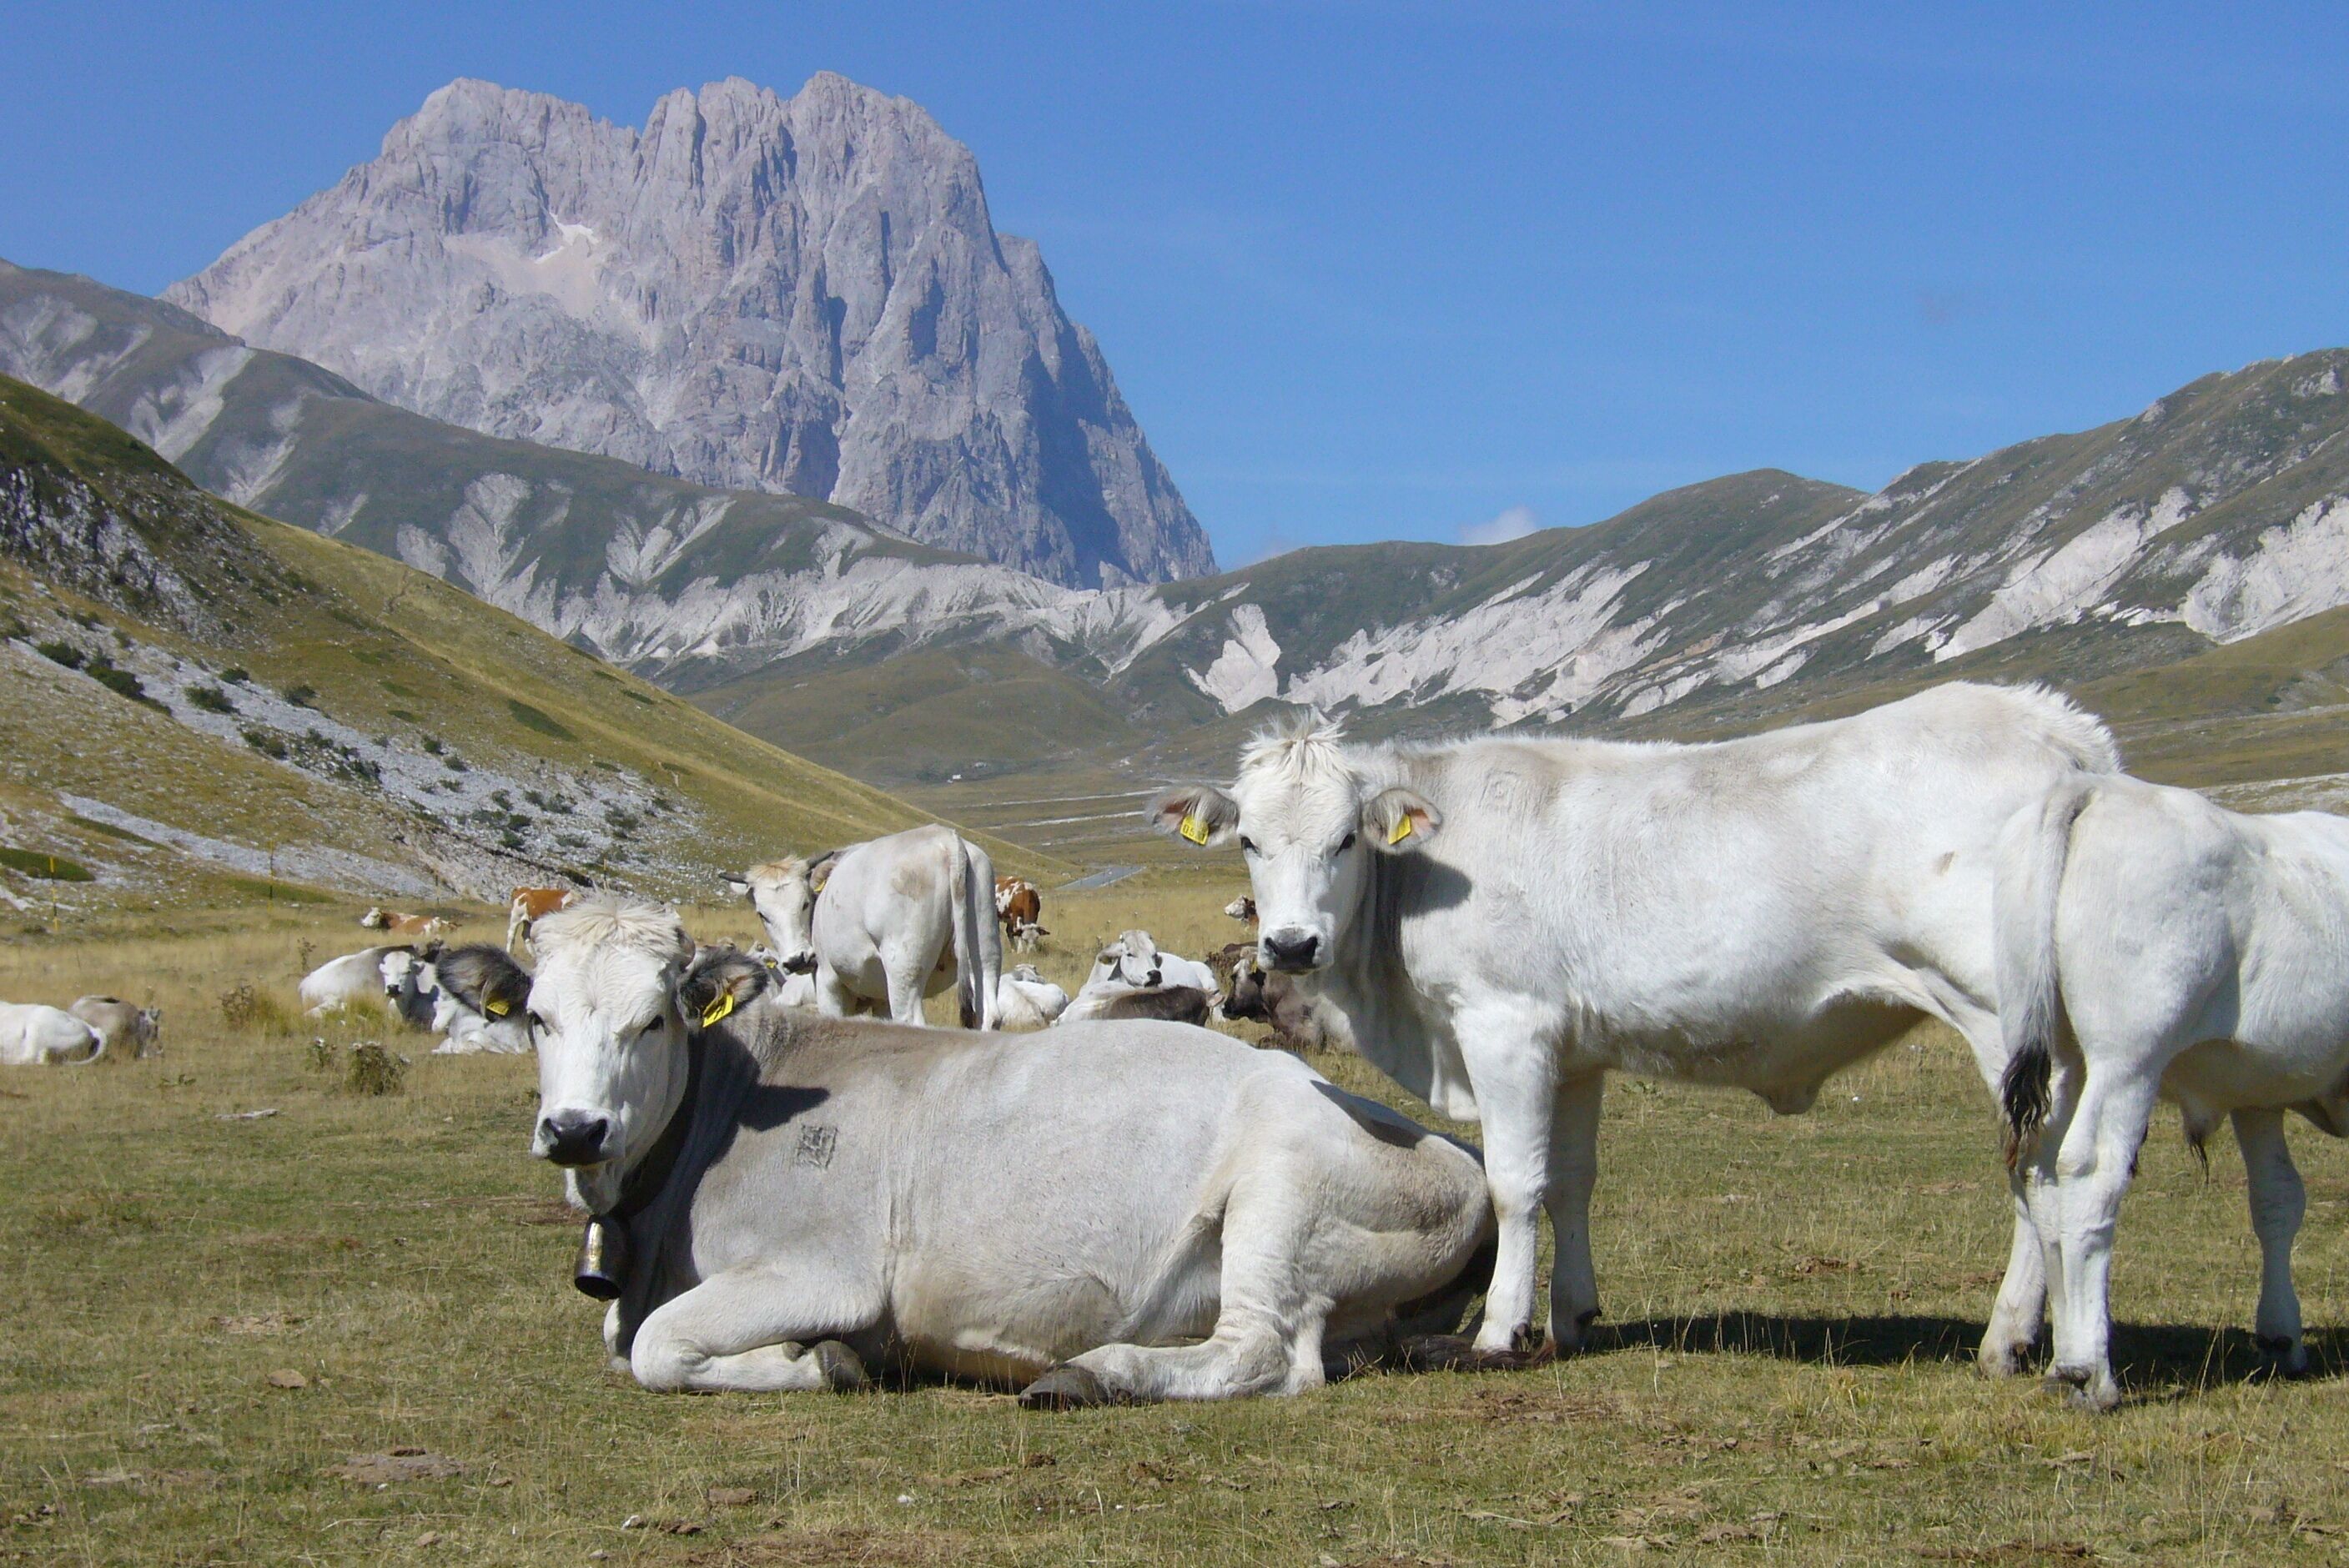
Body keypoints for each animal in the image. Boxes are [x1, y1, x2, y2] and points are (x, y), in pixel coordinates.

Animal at [450, 900, 1493, 1405]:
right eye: (536, 1016)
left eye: (654, 1017)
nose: (574, 1127)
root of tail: (1460, 1156)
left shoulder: (823, 1270)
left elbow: (659, 1349)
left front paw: (820, 1362)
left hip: (1280, 1196)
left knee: (1264, 1354)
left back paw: (1089, 1373)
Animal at [730, 824, 1002, 1029]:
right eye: (763, 914)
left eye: (805, 903)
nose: (798, 959)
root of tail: (945, 839)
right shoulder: (879, 998)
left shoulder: (828, 982)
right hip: (985, 952)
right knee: (989, 1013)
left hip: (904, 970)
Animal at [1151, 682, 2119, 1371]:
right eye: (1249, 841)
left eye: (1346, 838)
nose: (1290, 943)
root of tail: (2051, 722)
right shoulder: (1574, 1053)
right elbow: (1571, 1181)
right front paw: (1569, 1316)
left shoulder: (1504, 1025)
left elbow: (1514, 1183)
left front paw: (1499, 1332)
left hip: (2004, 1021)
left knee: (2034, 1165)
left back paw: (2012, 1338)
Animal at [1995, 774, 2349, 1408]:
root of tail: (2098, 790)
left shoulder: (2256, 1093)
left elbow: (2277, 1200)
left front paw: (2281, 1335)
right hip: (2127, 1057)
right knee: (2090, 1172)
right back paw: (2090, 1370)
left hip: (2059, 1054)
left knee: (2043, 1176)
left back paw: (2062, 1357)